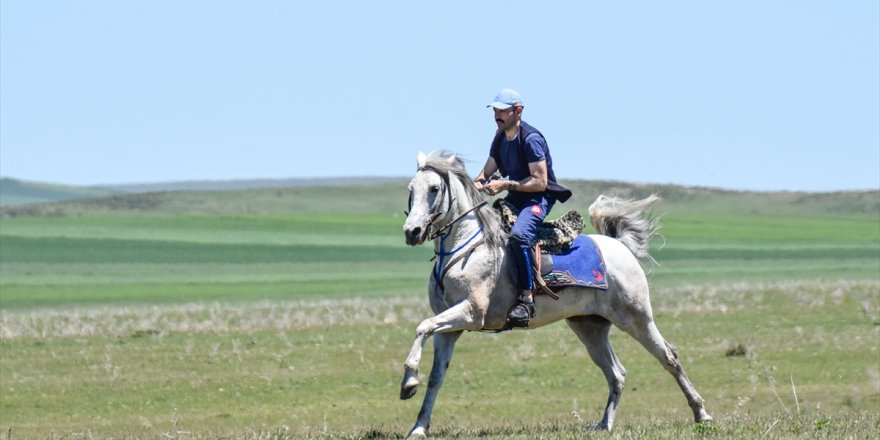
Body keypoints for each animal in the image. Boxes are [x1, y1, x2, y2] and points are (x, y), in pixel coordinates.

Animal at [402, 150, 712, 436]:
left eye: (434, 188)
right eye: (411, 189)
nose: (411, 231)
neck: (465, 248)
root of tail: (619, 245)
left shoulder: (471, 313)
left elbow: (422, 327)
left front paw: (408, 382)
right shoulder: (450, 326)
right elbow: (435, 374)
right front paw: (418, 424)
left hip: (636, 319)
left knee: (669, 357)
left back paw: (702, 414)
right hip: (589, 327)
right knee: (617, 373)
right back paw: (604, 425)